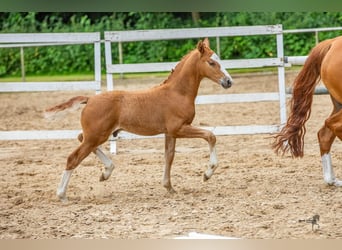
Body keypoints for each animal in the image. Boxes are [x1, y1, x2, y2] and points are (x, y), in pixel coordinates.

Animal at [45, 37, 232, 201]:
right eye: (211, 62)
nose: (229, 81)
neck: (177, 93)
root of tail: (90, 99)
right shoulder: (178, 128)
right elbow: (210, 136)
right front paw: (207, 173)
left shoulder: (169, 133)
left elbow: (169, 156)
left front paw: (169, 187)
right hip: (97, 135)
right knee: (73, 158)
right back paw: (62, 195)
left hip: (97, 135)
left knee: (80, 138)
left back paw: (106, 172)